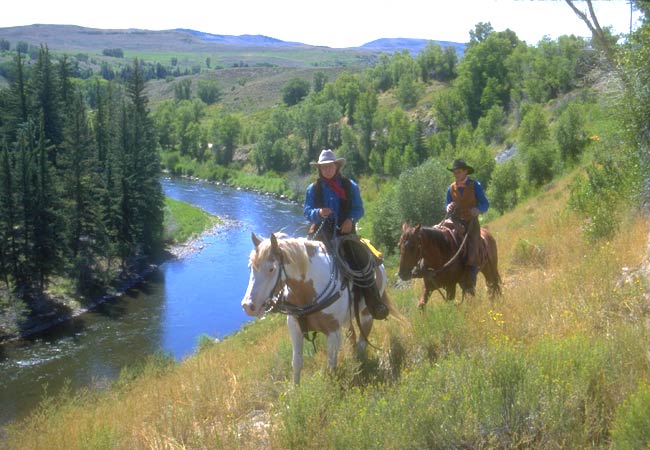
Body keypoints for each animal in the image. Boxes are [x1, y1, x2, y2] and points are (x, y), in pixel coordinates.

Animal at [240, 232, 388, 384]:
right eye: (251, 267)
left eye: (271, 269)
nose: (248, 306)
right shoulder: (294, 327)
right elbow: (297, 362)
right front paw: (296, 389)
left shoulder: (333, 331)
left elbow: (331, 365)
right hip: (347, 319)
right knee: (352, 337)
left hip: (366, 314)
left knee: (362, 341)